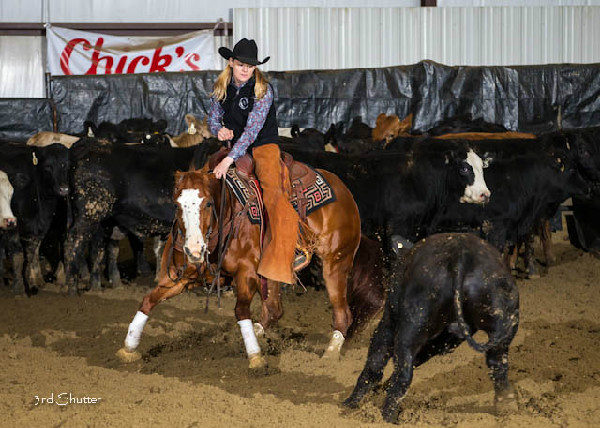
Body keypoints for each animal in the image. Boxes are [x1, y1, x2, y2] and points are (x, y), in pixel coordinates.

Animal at [116, 160, 380, 368]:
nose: (193, 250)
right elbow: (148, 301)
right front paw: (128, 347)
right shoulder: (180, 278)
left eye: (208, 203)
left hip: (335, 263)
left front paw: (255, 356)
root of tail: (344, 191)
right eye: (177, 204)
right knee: (273, 309)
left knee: (342, 313)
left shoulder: (248, 274)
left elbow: (241, 310)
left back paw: (330, 354)